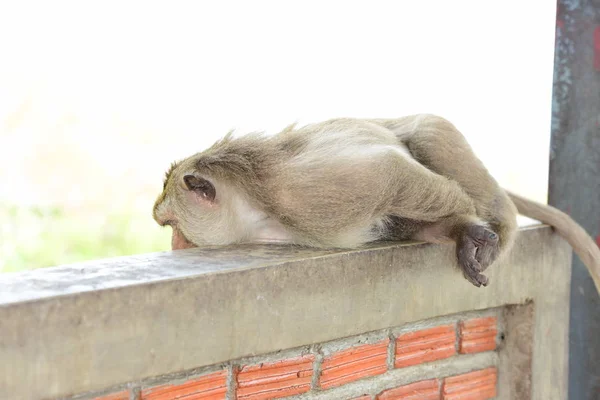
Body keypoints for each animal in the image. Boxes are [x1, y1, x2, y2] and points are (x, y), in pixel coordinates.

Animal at [151, 114, 600, 290]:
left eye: (171, 225)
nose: (175, 245)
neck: (255, 206)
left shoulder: (304, 192)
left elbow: (388, 170)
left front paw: (472, 228)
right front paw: (461, 230)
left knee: (426, 134)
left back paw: (494, 225)